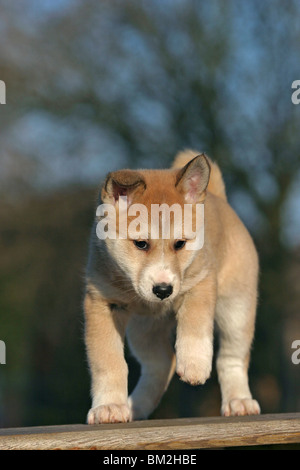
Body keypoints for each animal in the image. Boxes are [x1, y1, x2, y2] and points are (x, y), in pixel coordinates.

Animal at [83, 151, 258, 426]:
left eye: (180, 244)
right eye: (141, 243)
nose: (163, 290)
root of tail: (218, 197)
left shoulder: (202, 282)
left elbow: (195, 325)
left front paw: (195, 364)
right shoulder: (102, 303)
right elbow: (109, 361)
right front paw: (109, 407)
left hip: (236, 311)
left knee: (232, 359)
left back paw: (239, 401)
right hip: (144, 330)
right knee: (162, 363)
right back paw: (135, 406)